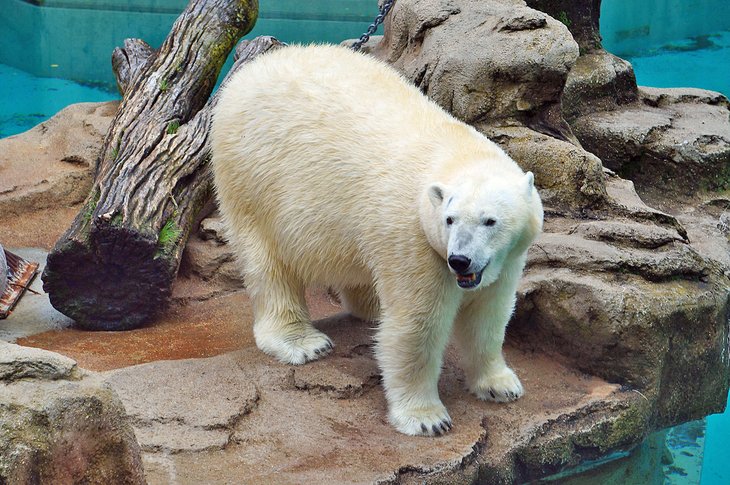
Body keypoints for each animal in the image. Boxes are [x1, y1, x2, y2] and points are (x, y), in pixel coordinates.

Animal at [209, 44, 540, 434]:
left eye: (490, 221)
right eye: (450, 219)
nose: (460, 260)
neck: (454, 151)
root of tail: (249, 73)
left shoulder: (507, 258)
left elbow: (489, 314)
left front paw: (501, 385)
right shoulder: (415, 238)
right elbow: (416, 325)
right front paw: (427, 418)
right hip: (251, 176)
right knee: (268, 262)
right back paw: (303, 342)